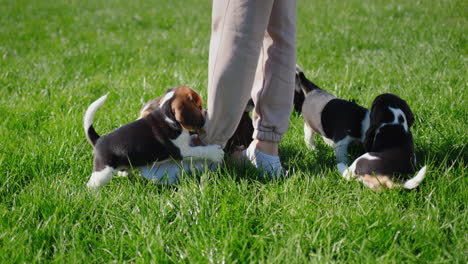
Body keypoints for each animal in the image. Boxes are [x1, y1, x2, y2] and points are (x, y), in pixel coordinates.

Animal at [83, 85, 225, 189]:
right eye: (199, 106)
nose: (205, 112)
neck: (167, 114)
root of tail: (99, 140)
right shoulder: (182, 151)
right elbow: (201, 150)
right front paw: (215, 152)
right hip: (102, 172)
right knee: (91, 185)